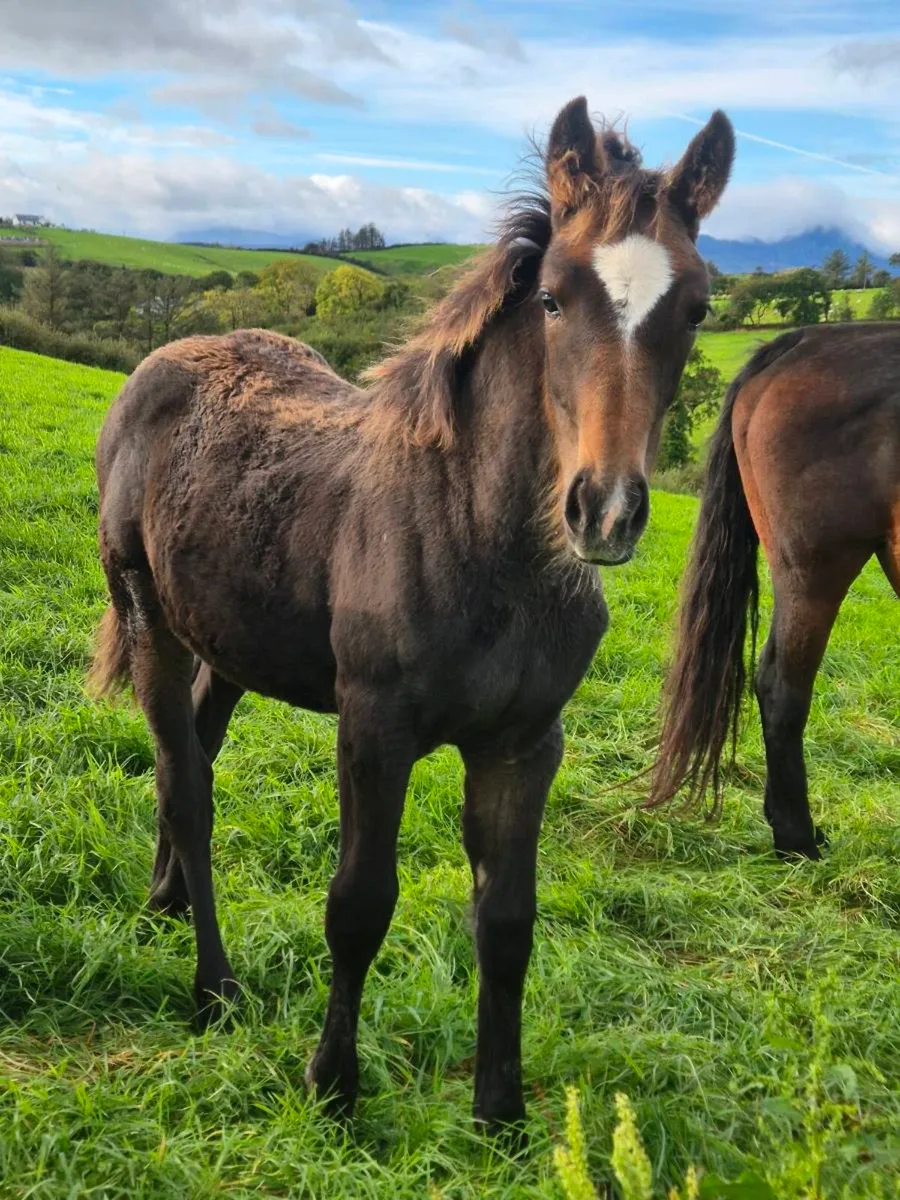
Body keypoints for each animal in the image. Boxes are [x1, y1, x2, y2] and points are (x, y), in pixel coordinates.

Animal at [88, 96, 734, 1128]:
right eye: (554, 299)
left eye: (698, 308)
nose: (606, 510)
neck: (486, 543)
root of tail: (164, 359)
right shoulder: (373, 727)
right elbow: (358, 903)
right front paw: (332, 1086)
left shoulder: (525, 744)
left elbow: (507, 921)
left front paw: (500, 1111)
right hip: (147, 615)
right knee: (186, 787)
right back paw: (213, 985)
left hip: (227, 640)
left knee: (193, 750)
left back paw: (166, 902)